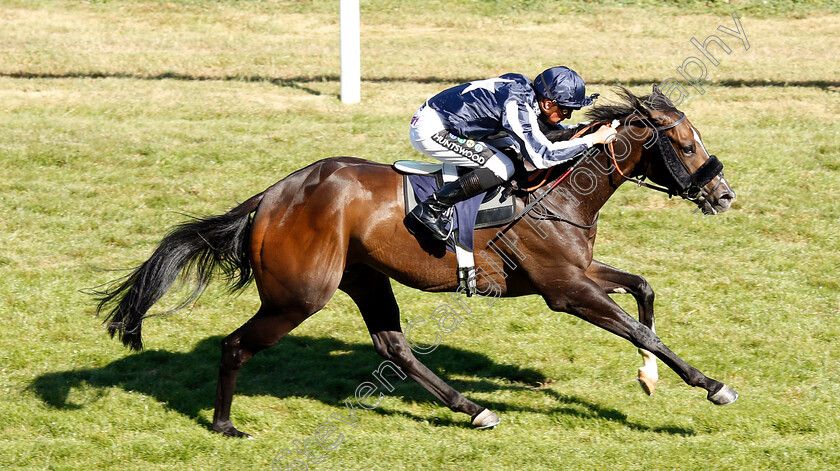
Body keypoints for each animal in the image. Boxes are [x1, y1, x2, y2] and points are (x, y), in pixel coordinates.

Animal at [97, 85, 736, 438]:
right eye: (685, 144)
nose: (724, 194)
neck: (558, 189)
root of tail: (272, 197)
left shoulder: (577, 274)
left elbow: (644, 291)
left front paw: (649, 379)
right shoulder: (565, 289)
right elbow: (640, 328)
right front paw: (711, 385)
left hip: (364, 278)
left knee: (394, 347)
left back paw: (472, 408)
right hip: (298, 295)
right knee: (236, 345)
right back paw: (225, 424)